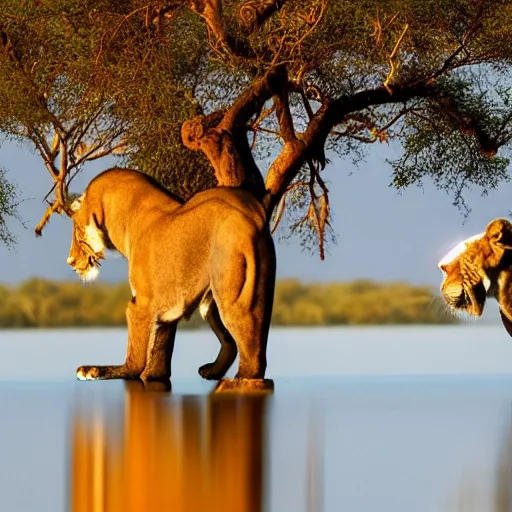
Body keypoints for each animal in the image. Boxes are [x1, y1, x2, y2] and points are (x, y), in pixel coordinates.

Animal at [68, 170, 278, 382]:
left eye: (76, 229)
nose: (70, 261)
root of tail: (253, 219)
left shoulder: (140, 304)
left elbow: (134, 363)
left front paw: (93, 370)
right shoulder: (165, 311)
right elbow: (160, 348)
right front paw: (154, 374)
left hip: (233, 296)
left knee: (252, 357)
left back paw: (240, 378)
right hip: (218, 302)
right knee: (234, 344)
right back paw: (212, 371)